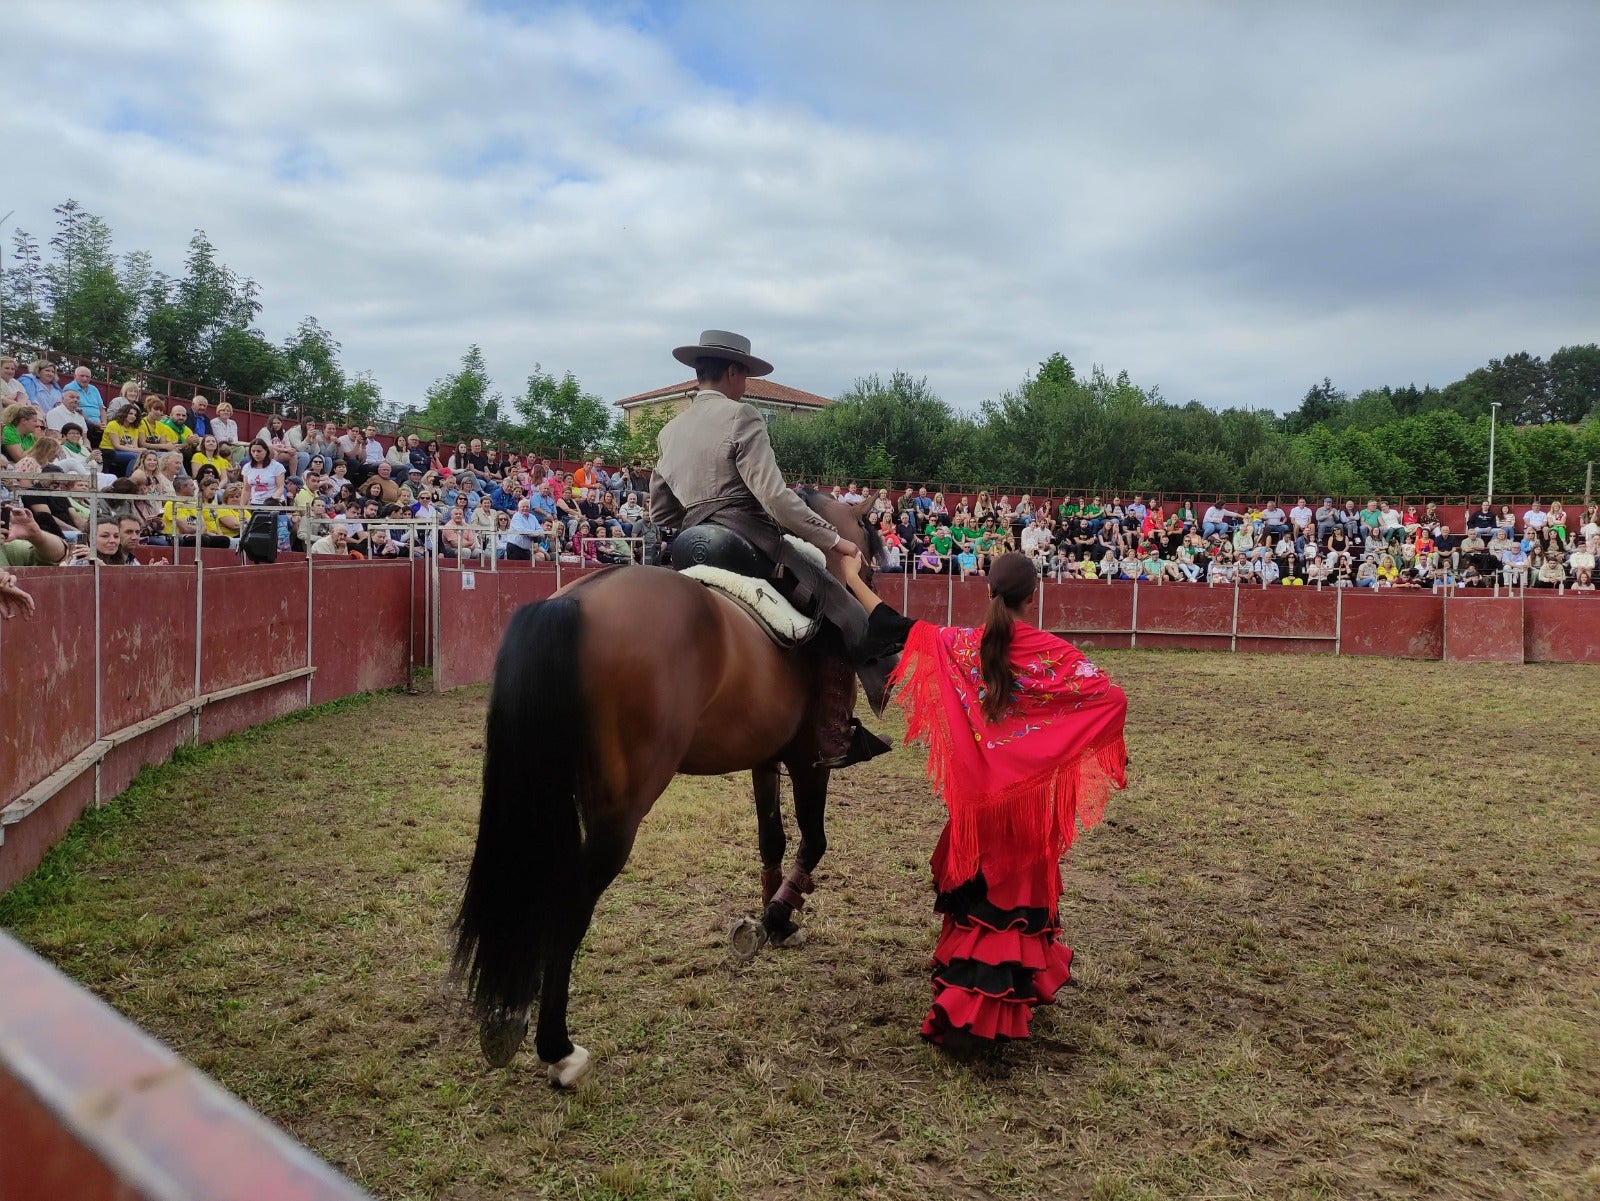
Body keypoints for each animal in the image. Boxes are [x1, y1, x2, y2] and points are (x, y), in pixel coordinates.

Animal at [451, 489, 883, 1087]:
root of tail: (575, 602)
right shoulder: (808, 762)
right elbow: (814, 842)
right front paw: (774, 919)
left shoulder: (765, 759)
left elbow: (771, 840)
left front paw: (775, 921)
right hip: (620, 810)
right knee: (570, 899)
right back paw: (559, 1049)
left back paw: (507, 1018)